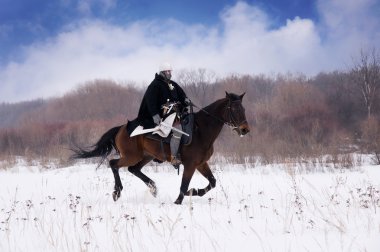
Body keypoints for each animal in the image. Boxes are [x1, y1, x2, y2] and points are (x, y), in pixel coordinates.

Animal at [71, 92, 249, 205]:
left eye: (244, 109)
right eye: (234, 109)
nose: (245, 130)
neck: (200, 130)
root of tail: (122, 128)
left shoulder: (201, 164)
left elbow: (212, 182)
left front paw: (194, 191)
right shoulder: (190, 165)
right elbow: (184, 185)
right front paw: (179, 200)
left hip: (146, 156)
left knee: (133, 169)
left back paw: (153, 188)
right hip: (131, 156)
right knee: (114, 164)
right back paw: (117, 191)